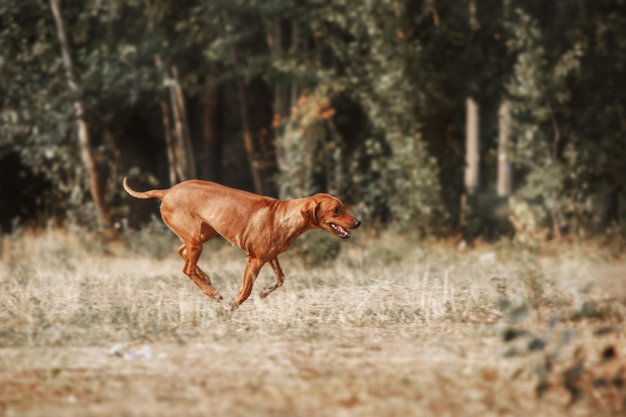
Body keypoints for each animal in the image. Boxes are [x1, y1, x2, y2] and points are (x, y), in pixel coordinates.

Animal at [120, 177, 360, 308]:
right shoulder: (254, 260)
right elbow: (245, 291)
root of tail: (167, 191)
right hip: (196, 240)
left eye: (343, 207)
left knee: (182, 253)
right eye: (336, 210)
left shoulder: (271, 256)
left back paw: (205, 278)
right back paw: (211, 292)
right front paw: (232, 306)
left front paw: (264, 292)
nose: (358, 222)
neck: (284, 216)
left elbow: (281, 279)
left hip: (202, 234)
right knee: (186, 268)